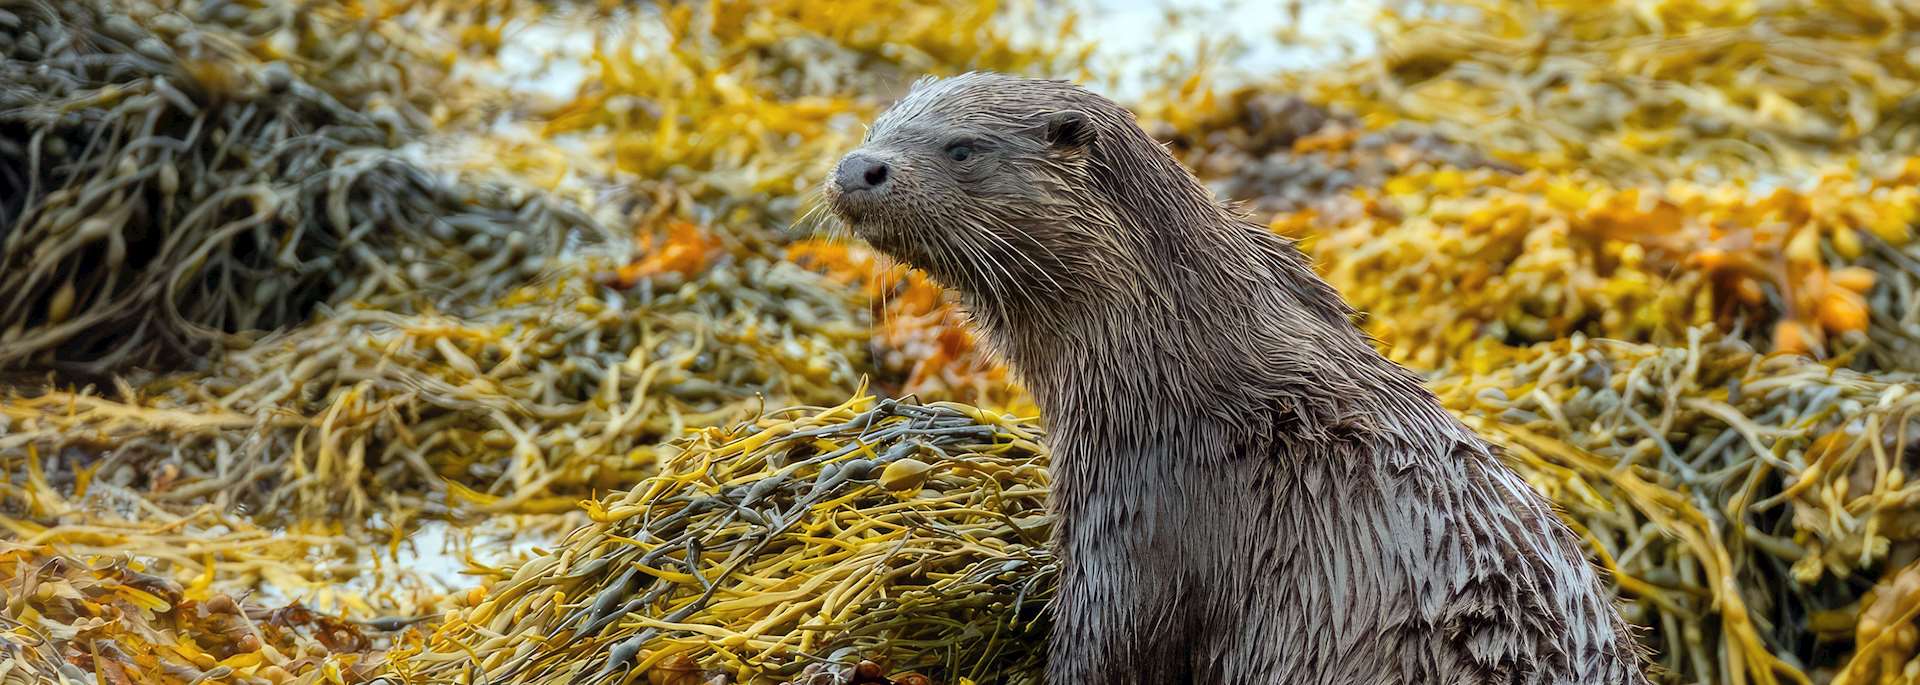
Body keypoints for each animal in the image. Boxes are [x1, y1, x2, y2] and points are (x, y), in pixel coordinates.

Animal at [825, 72, 1651, 685]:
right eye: (876, 126)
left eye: (963, 148)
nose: (856, 166)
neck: (1173, 378)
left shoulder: (1141, 529)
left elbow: (1111, 654)